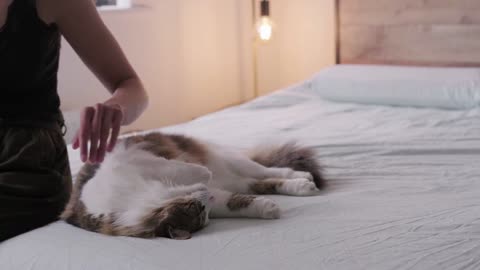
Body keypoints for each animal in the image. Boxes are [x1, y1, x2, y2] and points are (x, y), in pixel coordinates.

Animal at [59, 132, 322, 239]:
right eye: (201, 213)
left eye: (195, 207)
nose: (206, 195)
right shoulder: (218, 197)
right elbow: (240, 203)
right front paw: (268, 208)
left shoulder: (136, 160)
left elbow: (180, 167)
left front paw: (201, 171)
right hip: (238, 180)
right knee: (261, 183)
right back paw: (302, 186)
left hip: (234, 161)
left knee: (269, 170)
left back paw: (303, 176)